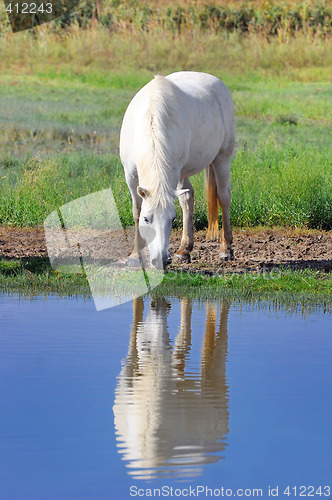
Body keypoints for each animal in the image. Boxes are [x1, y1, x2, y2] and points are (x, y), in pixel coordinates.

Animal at [120, 70, 235, 270]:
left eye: (172, 219)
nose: (161, 260)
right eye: (147, 219)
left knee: (223, 197)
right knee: (188, 199)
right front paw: (135, 255)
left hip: (222, 159)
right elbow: (137, 210)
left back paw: (225, 248)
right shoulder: (131, 177)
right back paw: (184, 250)